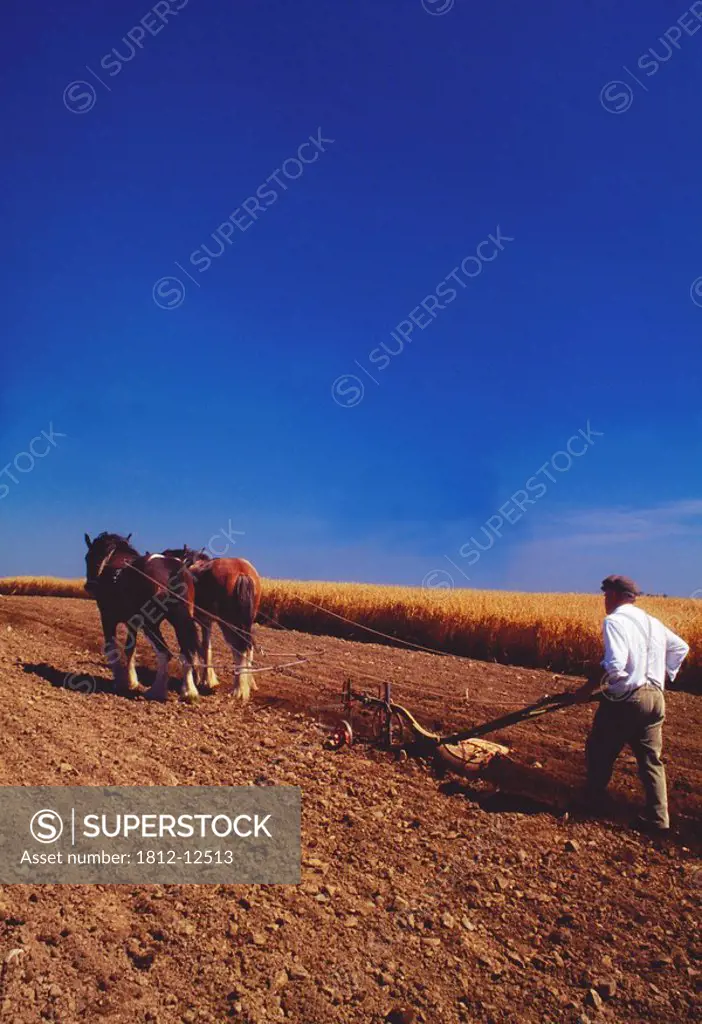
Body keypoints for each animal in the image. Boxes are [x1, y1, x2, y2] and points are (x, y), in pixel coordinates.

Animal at [84, 528, 203, 704]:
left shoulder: (107, 617)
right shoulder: (132, 622)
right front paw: (131, 680)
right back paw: (189, 692)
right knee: (186, 652)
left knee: (164, 653)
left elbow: (112, 648)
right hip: (181, 620)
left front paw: (120, 681)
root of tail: (173, 567)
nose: (89, 586)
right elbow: (130, 649)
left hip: (151, 624)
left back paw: (157, 691)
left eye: (88, 557)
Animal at [160, 548, 261, 700]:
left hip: (228, 623)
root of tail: (242, 571)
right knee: (248, 647)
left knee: (239, 649)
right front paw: (208, 679)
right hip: (244, 622)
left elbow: (200, 648)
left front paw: (204, 679)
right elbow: (206, 647)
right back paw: (248, 683)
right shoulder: (206, 622)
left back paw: (239, 689)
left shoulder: (197, 621)